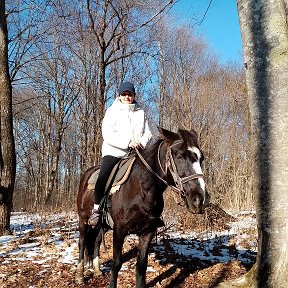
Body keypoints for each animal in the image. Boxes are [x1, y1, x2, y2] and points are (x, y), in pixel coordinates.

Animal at [75, 128, 208, 288]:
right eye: (180, 156)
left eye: (201, 159)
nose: (199, 200)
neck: (141, 189)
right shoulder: (119, 231)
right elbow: (116, 263)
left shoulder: (147, 231)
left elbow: (141, 265)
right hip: (83, 220)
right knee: (82, 243)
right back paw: (80, 276)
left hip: (104, 225)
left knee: (96, 242)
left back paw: (97, 271)